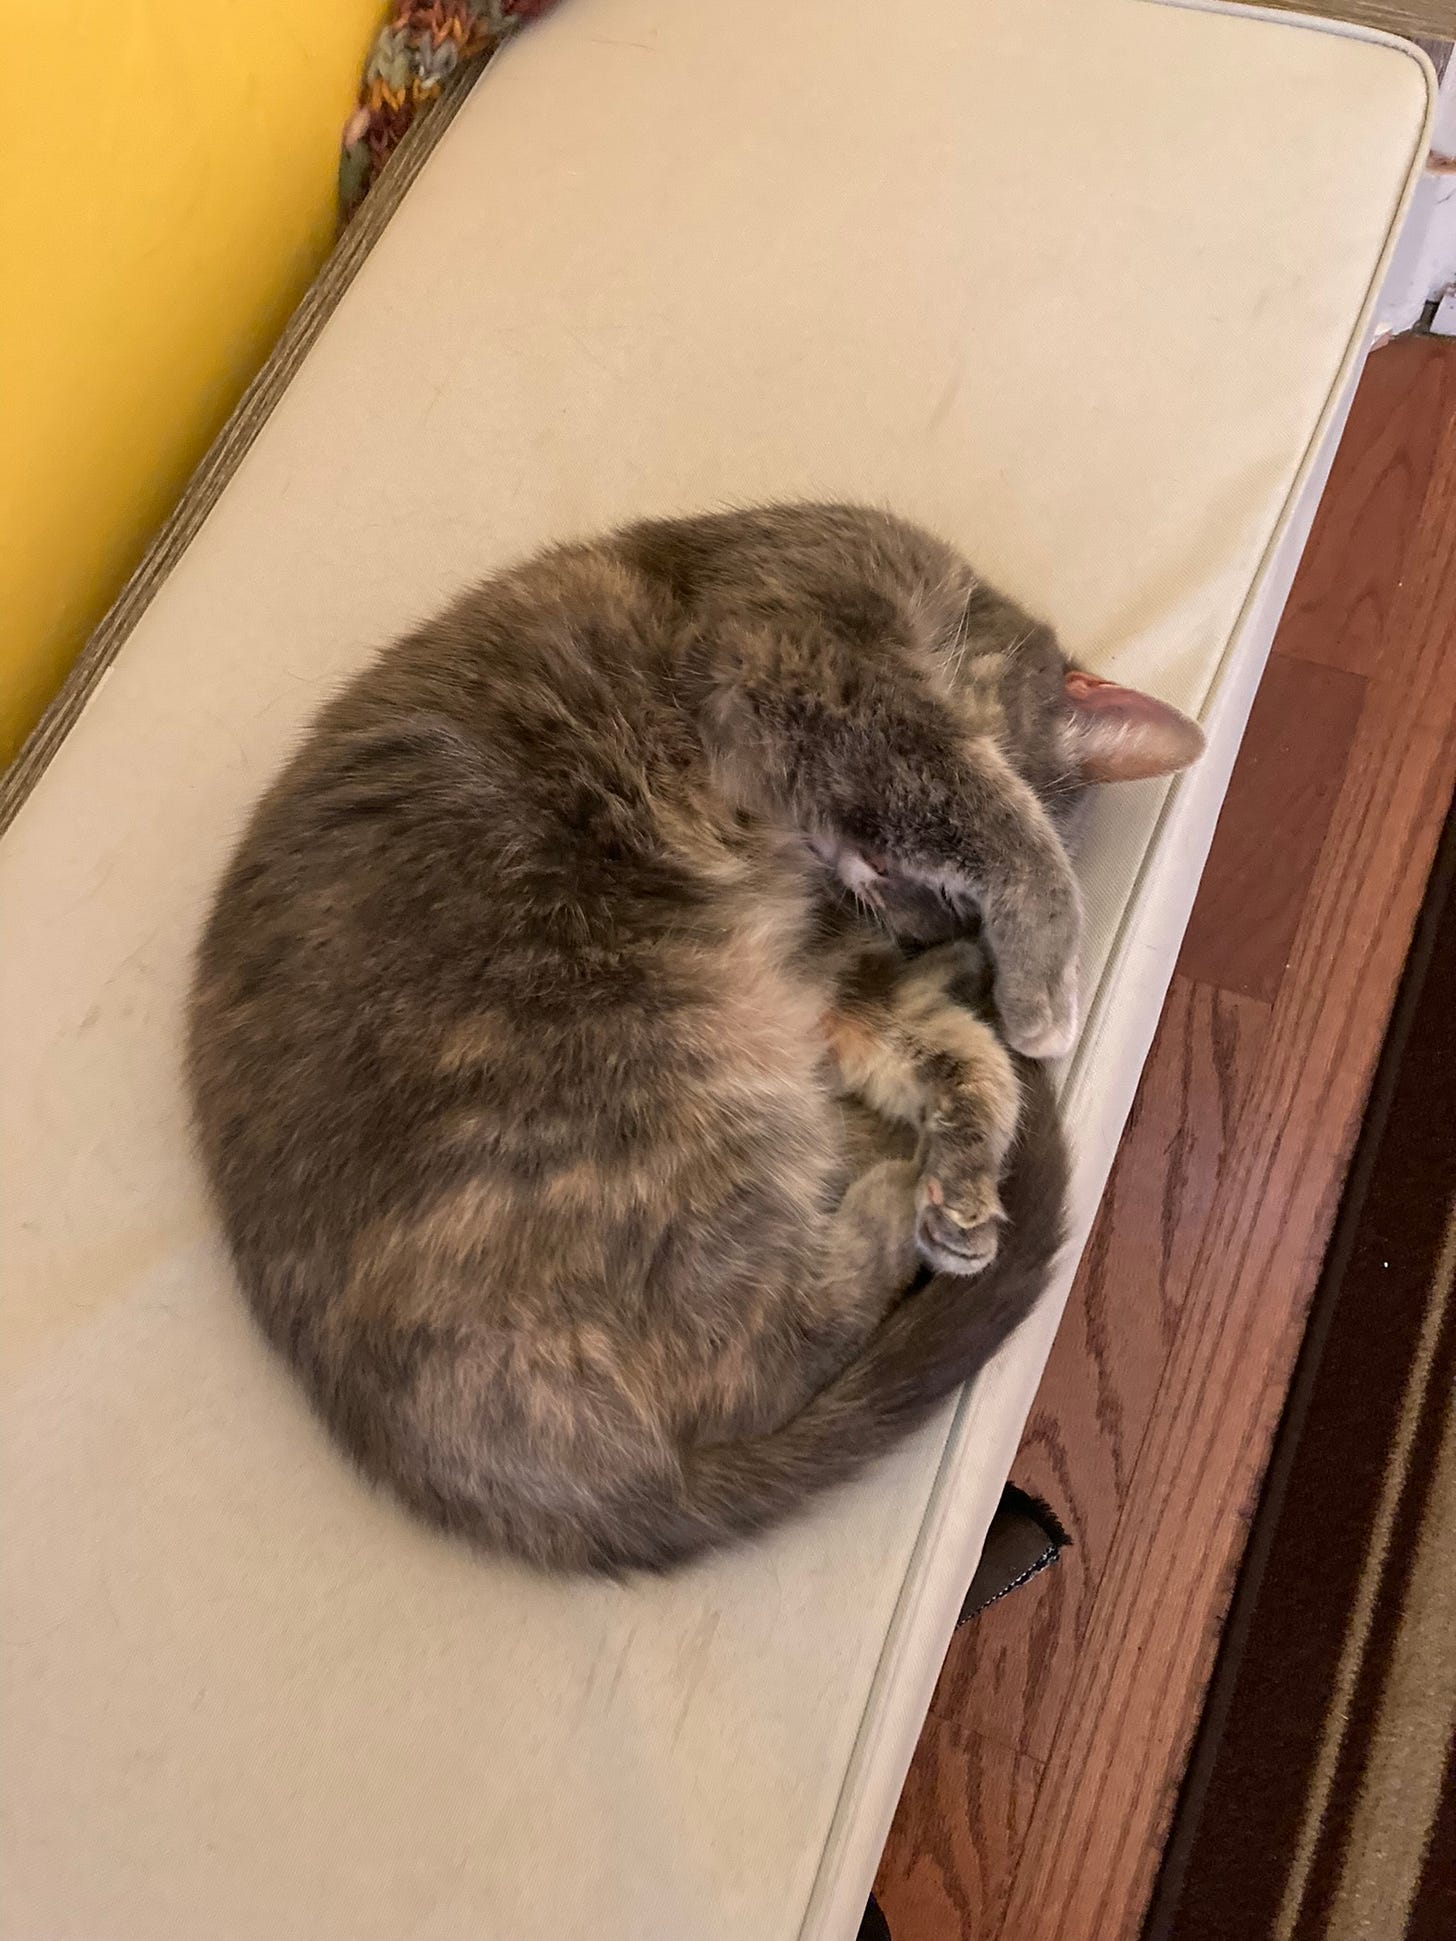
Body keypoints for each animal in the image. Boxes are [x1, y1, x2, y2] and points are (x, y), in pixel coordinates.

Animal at [188, 504, 1203, 1576]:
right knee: (754, 1357)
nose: (922, 925)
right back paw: (889, 1191)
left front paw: (965, 1175)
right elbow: (979, 796)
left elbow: (957, 1057)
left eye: (944, 914)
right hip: (672, 1073)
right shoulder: (808, 666)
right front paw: (1045, 985)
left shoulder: (829, 987)